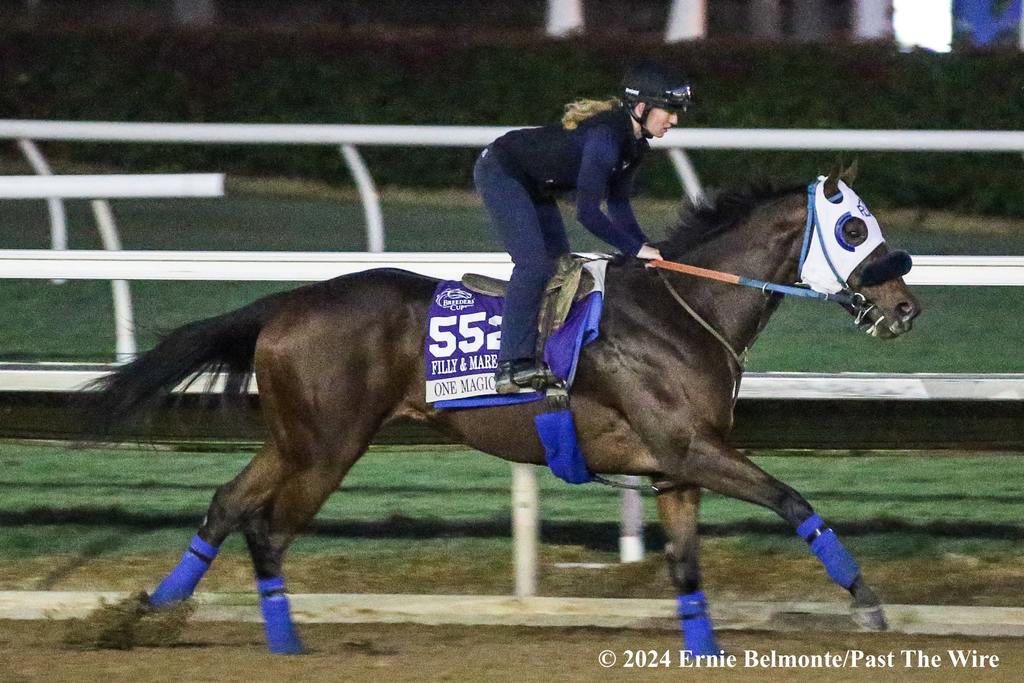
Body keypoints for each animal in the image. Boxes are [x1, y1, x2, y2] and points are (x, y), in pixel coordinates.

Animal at [86, 167, 921, 655]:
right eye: (854, 228)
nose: (906, 306)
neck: (684, 310)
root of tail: (284, 303)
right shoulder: (690, 447)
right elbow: (794, 500)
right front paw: (868, 602)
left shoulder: (673, 469)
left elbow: (686, 565)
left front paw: (705, 650)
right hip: (328, 445)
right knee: (267, 527)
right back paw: (283, 642)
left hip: (297, 438)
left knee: (228, 503)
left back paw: (146, 612)